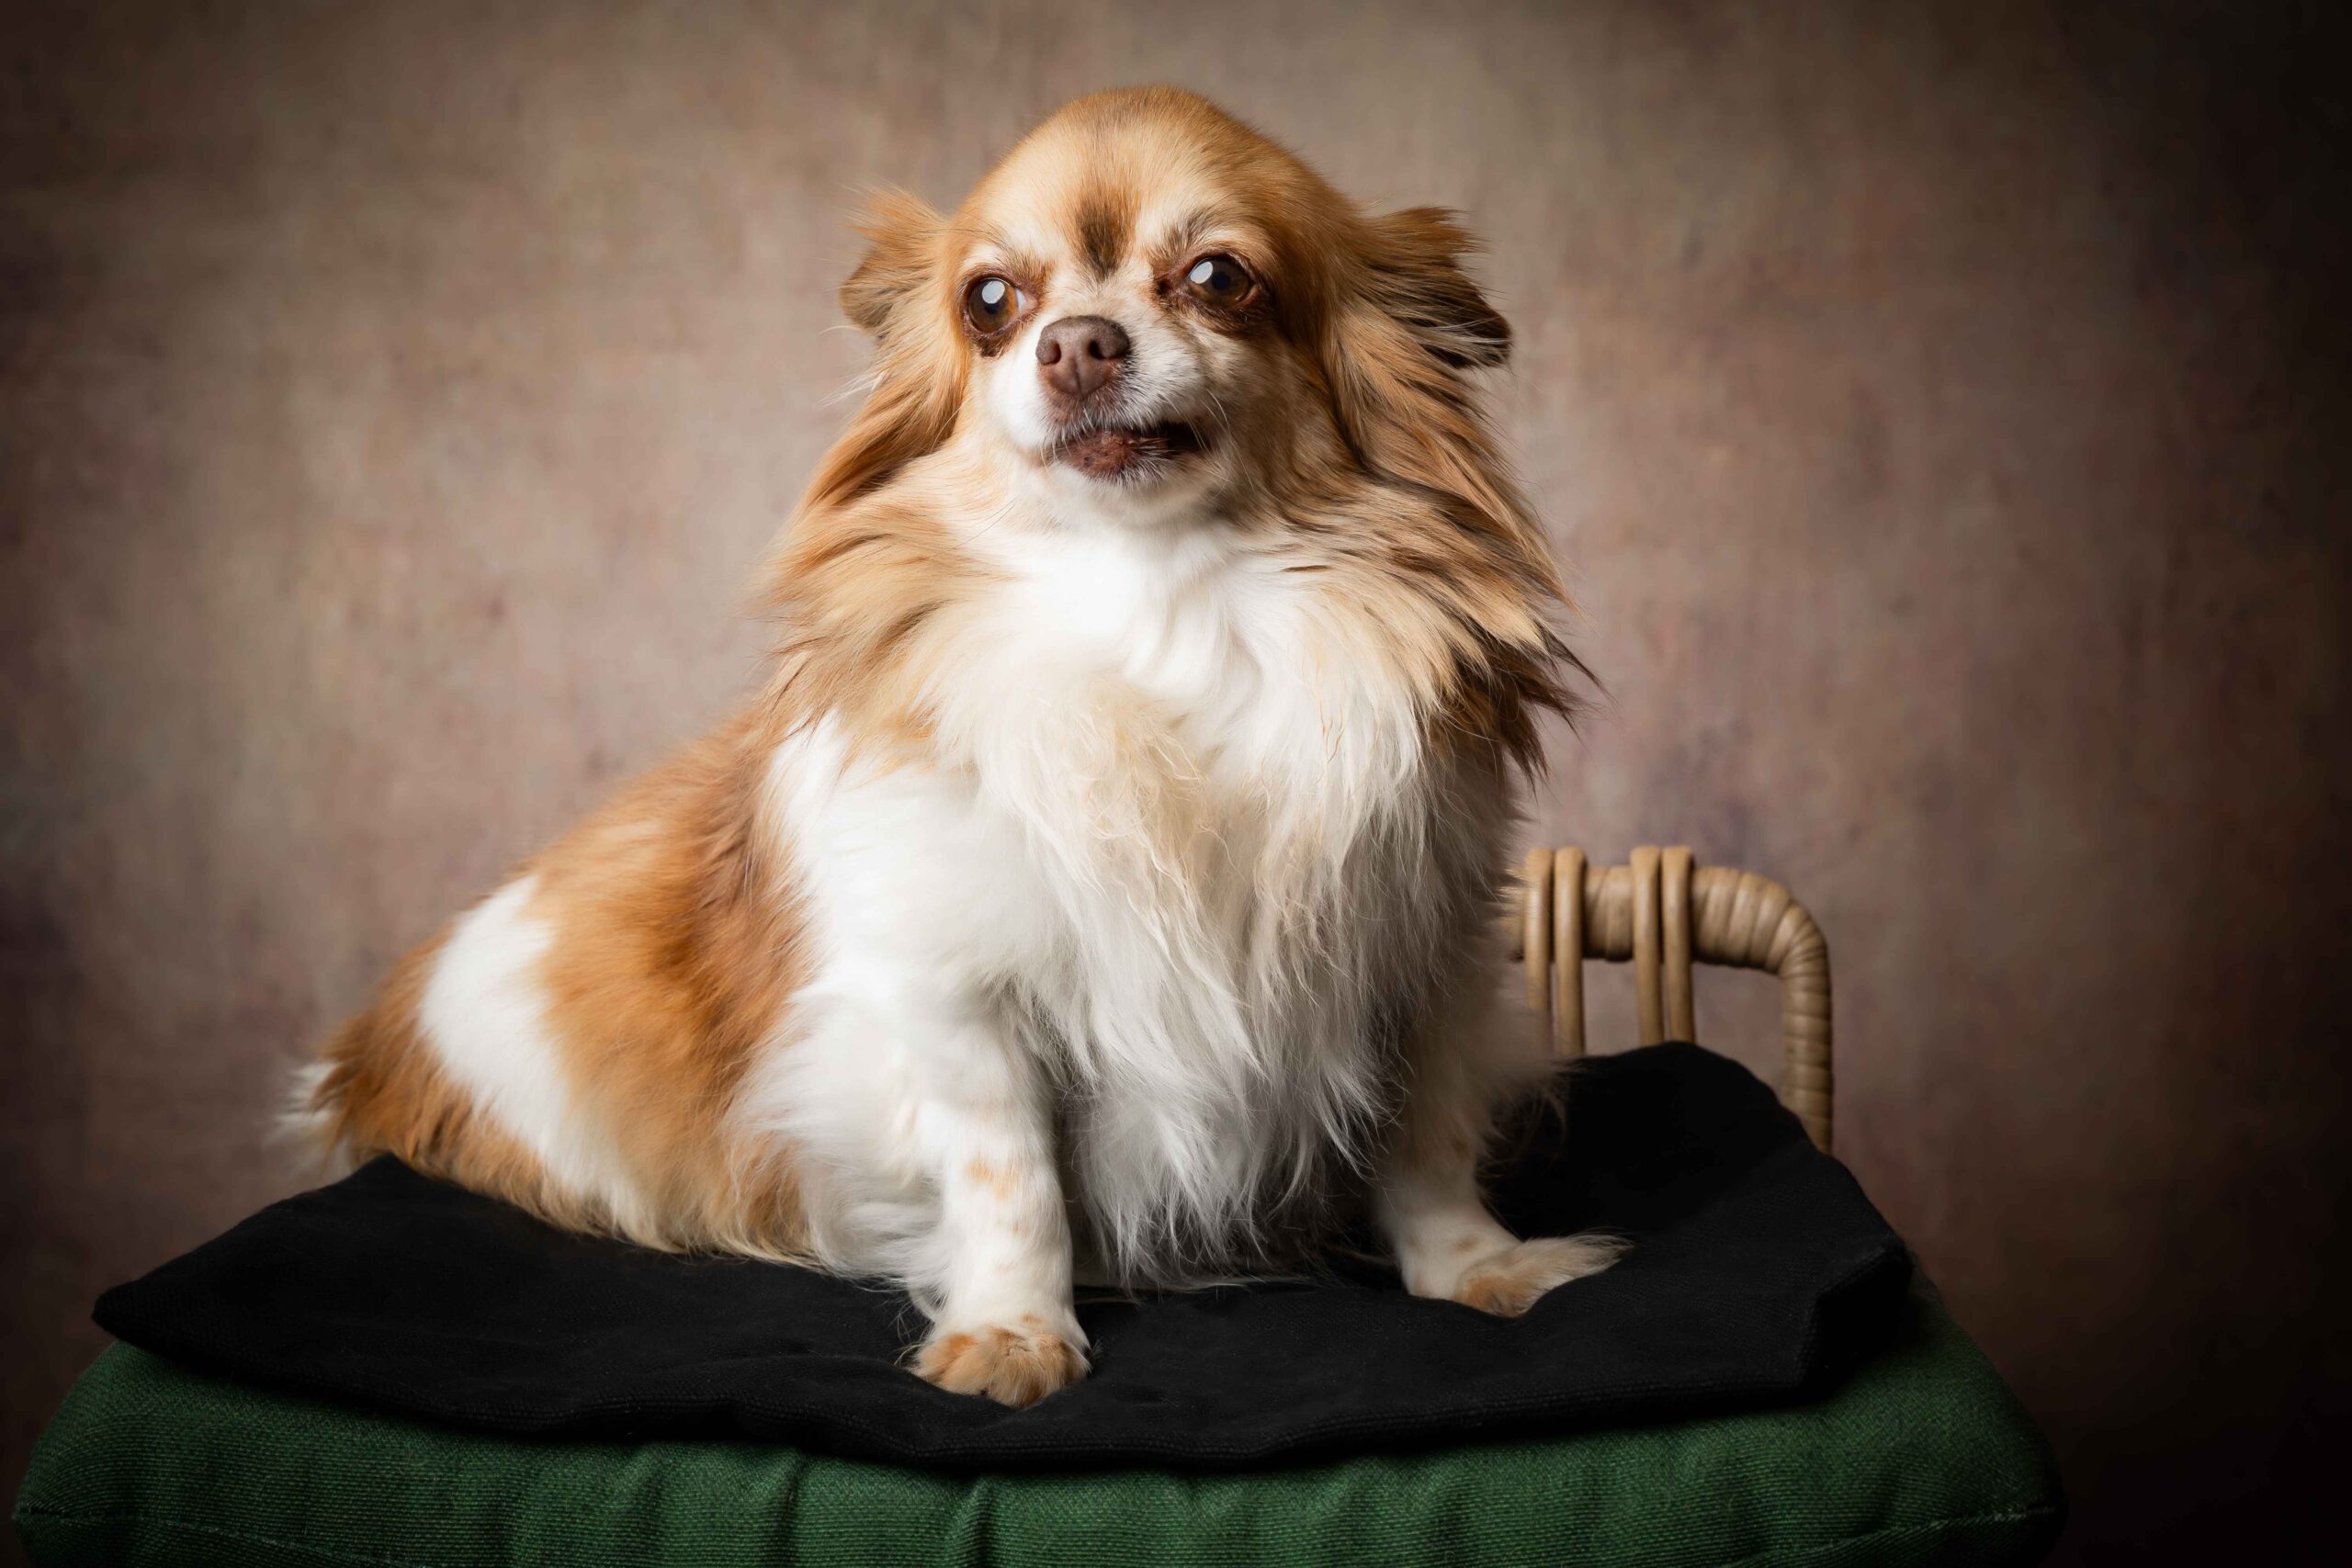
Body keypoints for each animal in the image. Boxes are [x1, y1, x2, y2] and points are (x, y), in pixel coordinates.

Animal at [291, 87, 1621, 1407]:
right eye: (990, 302)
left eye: (1219, 277)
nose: (1076, 343)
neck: (1164, 610)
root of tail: (365, 1053)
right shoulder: (960, 1000)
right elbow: (1009, 1179)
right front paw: (1013, 1333)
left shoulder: (1425, 955)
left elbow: (1429, 1140)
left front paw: (1479, 1269)